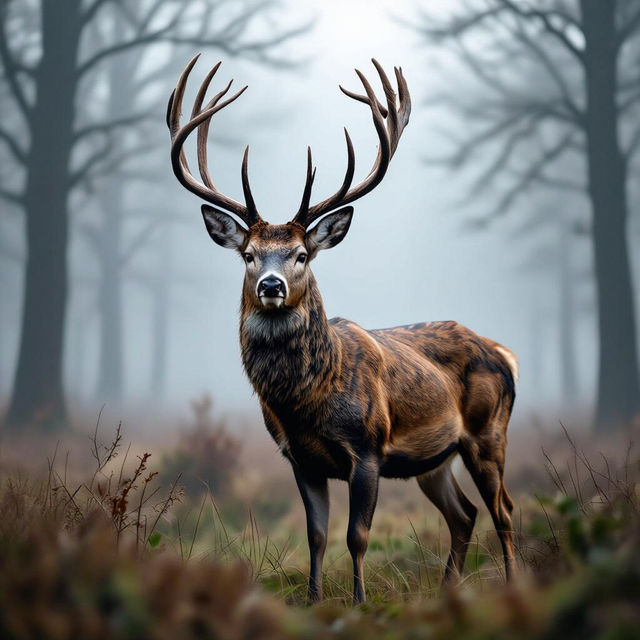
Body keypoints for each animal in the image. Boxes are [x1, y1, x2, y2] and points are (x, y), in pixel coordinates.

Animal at [167, 55, 519, 605]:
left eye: (301, 254)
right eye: (248, 255)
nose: (270, 285)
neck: (306, 402)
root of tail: (504, 353)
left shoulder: (369, 448)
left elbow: (357, 535)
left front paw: (358, 602)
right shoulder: (299, 457)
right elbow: (315, 534)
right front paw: (313, 600)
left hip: (488, 432)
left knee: (503, 510)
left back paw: (513, 585)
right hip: (434, 459)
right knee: (464, 515)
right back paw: (449, 590)